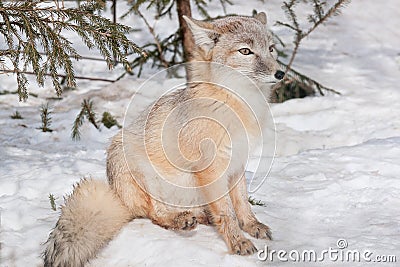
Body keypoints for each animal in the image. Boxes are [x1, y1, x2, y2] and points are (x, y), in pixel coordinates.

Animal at [43, 11, 284, 266]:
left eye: (271, 49)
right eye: (246, 51)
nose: (280, 73)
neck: (236, 106)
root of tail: (118, 198)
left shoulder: (237, 164)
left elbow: (242, 204)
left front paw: (252, 225)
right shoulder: (211, 168)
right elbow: (227, 213)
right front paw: (238, 241)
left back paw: (197, 217)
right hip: (133, 161)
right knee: (155, 215)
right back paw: (180, 220)